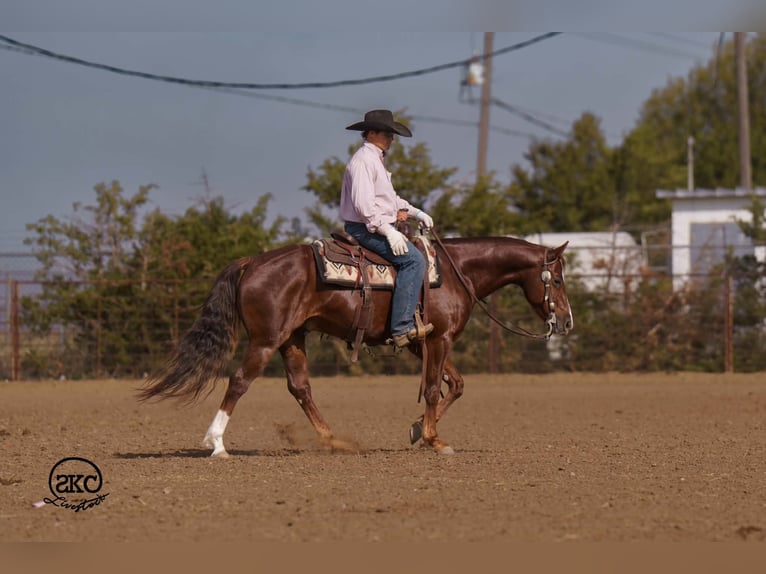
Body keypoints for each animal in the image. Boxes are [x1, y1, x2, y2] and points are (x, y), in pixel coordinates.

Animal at [139, 234, 573, 456]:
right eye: (557, 278)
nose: (567, 321)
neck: (455, 273)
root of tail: (252, 262)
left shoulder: (422, 342)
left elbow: (456, 385)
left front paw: (417, 430)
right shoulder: (439, 339)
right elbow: (435, 388)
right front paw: (433, 439)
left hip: (292, 339)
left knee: (300, 387)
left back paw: (332, 439)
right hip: (265, 341)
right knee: (240, 381)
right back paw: (216, 443)